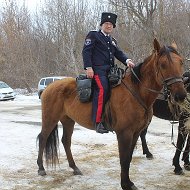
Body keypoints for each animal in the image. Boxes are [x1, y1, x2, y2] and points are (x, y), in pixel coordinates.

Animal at [36, 39, 186, 190]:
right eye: (163, 64)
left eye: (181, 62)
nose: (180, 96)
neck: (136, 92)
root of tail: (49, 86)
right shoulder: (124, 133)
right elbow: (124, 159)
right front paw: (125, 184)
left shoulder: (136, 132)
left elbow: (129, 158)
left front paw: (129, 183)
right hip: (50, 119)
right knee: (43, 138)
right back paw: (41, 168)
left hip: (68, 120)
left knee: (66, 141)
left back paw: (74, 168)